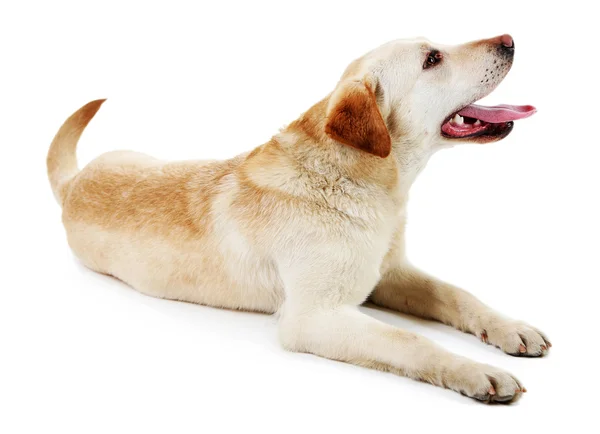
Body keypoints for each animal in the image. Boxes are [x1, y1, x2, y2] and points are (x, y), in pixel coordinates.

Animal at [49, 34, 552, 404]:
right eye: (432, 59)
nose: (509, 39)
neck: (365, 182)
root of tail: (73, 183)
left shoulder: (390, 273)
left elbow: (457, 294)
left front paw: (510, 328)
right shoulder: (314, 317)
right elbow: (412, 341)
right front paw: (475, 371)